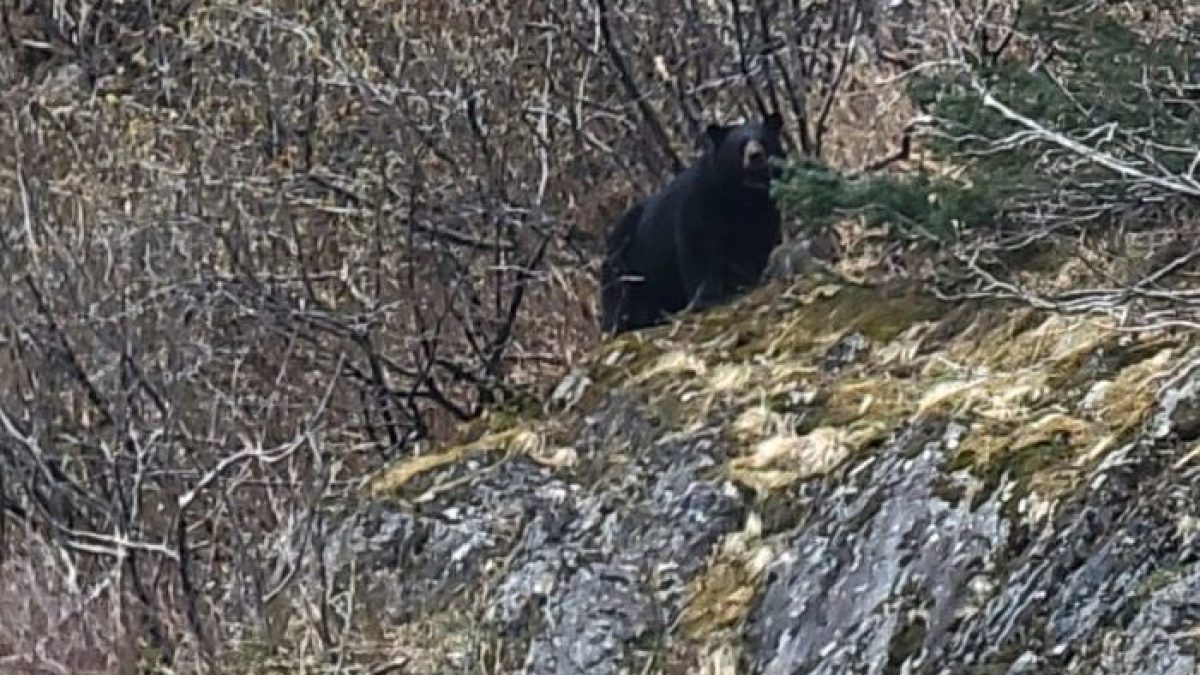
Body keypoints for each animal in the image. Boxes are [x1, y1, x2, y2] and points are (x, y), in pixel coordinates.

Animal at [600, 112, 787, 334]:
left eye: (763, 140)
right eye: (740, 145)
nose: (755, 156)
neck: (742, 194)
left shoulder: (765, 209)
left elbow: (755, 243)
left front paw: (745, 282)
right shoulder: (701, 200)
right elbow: (700, 246)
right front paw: (707, 297)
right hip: (627, 260)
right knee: (619, 293)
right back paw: (621, 324)